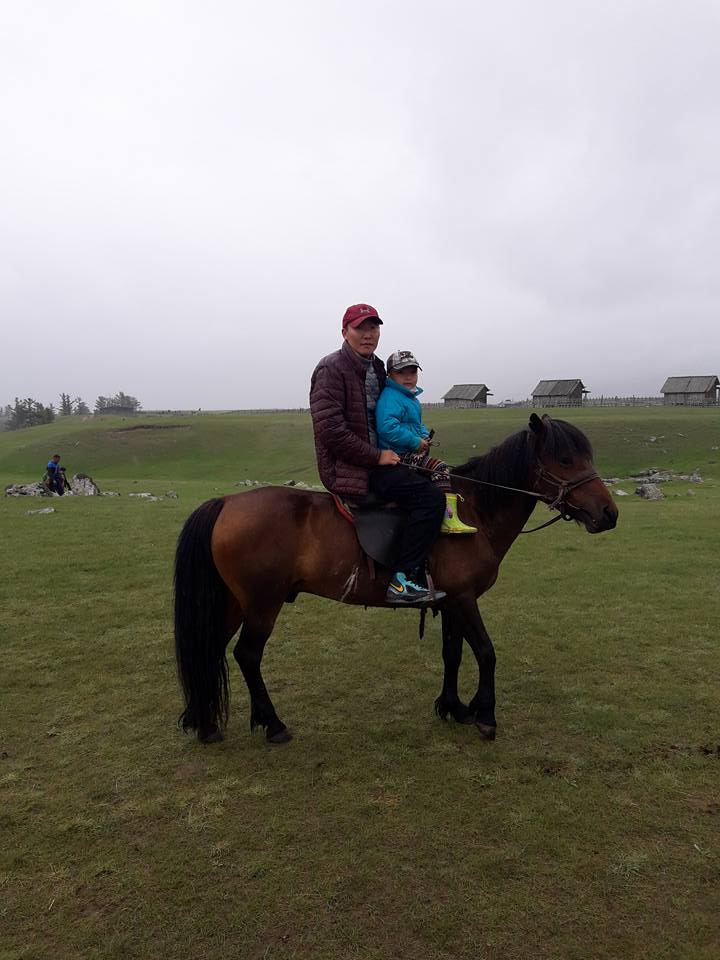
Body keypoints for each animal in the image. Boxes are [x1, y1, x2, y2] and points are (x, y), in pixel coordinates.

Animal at [174, 413, 618, 745]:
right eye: (565, 459)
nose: (609, 513)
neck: (474, 510)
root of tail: (226, 502)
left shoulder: (450, 601)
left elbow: (453, 654)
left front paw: (454, 707)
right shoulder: (464, 599)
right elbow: (486, 653)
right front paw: (485, 715)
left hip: (234, 603)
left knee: (211, 647)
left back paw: (206, 723)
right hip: (262, 605)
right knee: (247, 655)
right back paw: (273, 724)